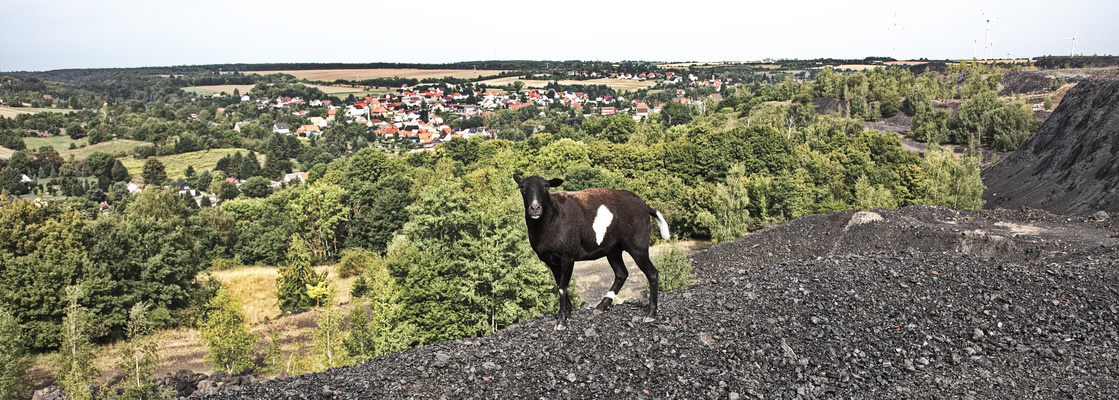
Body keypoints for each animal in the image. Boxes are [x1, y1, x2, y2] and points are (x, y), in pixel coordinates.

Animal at [514, 174, 670, 328]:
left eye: (546, 187)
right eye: (521, 187)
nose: (535, 208)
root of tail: (645, 206)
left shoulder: (567, 256)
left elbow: (562, 287)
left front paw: (562, 321)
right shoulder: (550, 260)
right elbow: (560, 285)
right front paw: (567, 314)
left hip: (637, 245)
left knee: (652, 273)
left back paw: (650, 314)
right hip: (613, 249)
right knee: (621, 274)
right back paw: (602, 306)